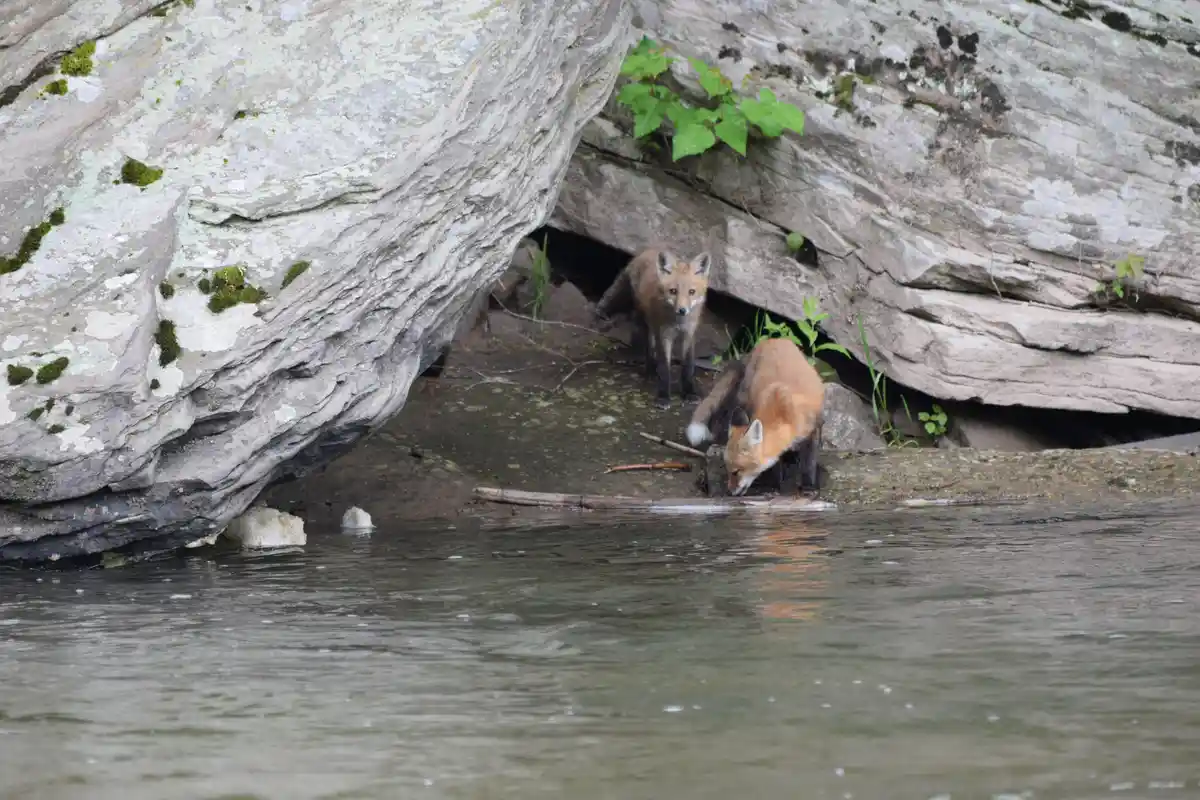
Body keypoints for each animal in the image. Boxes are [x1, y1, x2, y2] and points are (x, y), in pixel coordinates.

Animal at [595, 245, 712, 408]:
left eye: (691, 292)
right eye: (673, 291)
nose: (682, 310)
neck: (677, 323)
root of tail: (648, 250)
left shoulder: (688, 335)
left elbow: (688, 367)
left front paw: (690, 392)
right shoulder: (664, 334)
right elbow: (664, 367)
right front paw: (663, 396)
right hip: (646, 325)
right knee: (649, 349)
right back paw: (650, 372)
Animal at [685, 337, 825, 497]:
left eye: (736, 472)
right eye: (728, 470)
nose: (730, 492)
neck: (784, 413)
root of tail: (770, 340)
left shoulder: (813, 428)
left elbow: (809, 463)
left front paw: (808, 486)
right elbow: (776, 465)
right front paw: (774, 486)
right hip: (745, 398)